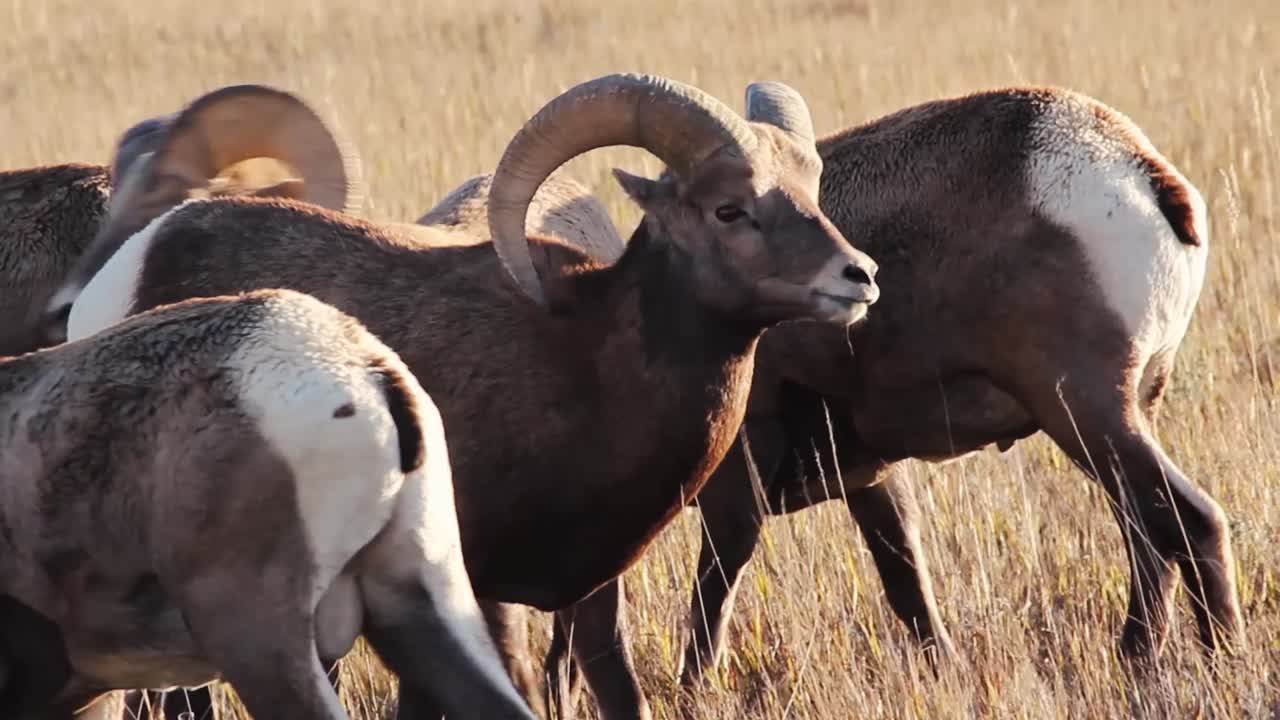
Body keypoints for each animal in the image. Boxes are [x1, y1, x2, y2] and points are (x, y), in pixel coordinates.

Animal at [541, 82, 1239, 710]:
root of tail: (1143, 175)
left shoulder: (740, 483)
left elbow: (714, 590)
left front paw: (691, 694)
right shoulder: (871, 480)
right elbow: (910, 592)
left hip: (1089, 415)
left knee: (1191, 522)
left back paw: (1219, 666)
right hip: (1116, 425)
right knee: (1149, 538)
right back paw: (1137, 662)